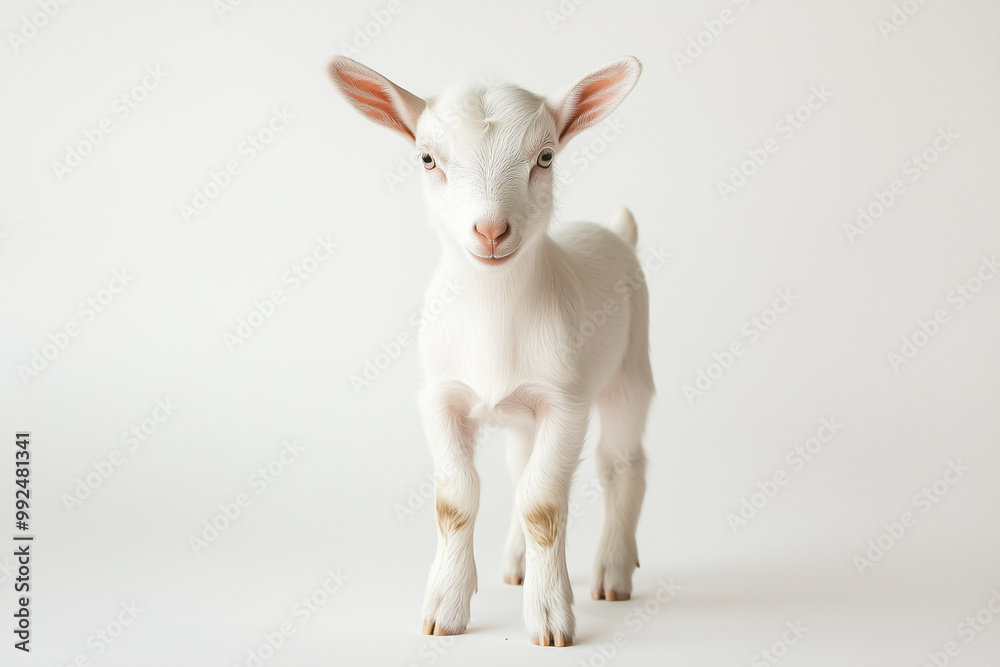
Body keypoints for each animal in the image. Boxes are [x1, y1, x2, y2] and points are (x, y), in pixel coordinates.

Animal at [327, 55, 654, 647]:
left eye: (546, 156)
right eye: (427, 158)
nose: (491, 230)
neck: (494, 313)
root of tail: (617, 234)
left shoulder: (564, 403)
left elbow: (543, 502)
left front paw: (549, 617)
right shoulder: (442, 397)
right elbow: (456, 500)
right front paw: (446, 607)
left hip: (631, 369)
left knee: (621, 464)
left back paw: (613, 572)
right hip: (525, 414)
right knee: (520, 465)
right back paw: (517, 565)